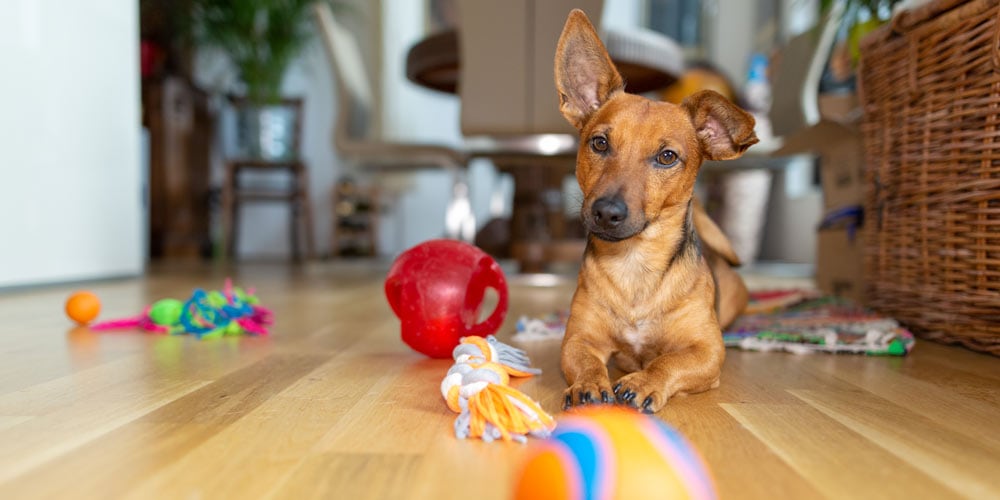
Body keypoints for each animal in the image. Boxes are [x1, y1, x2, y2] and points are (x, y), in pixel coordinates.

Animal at [556, 9, 756, 414]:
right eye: (599, 143)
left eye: (667, 157)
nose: (606, 212)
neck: (635, 265)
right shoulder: (578, 339)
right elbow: (585, 362)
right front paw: (588, 384)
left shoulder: (707, 351)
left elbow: (668, 362)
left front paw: (645, 381)